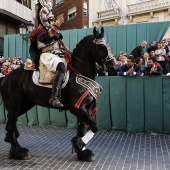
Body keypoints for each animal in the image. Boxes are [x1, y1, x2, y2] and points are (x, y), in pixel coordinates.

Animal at [0, 27, 115, 161]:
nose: (113, 67)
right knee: (11, 125)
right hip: (14, 106)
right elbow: (95, 126)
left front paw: (81, 151)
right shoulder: (77, 108)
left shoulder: (86, 108)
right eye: (101, 47)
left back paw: (12, 147)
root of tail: (6, 78)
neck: (79, 72)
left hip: (24, 105)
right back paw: (19, 151)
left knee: (10, 123)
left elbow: (83, 129)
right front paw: (79, 145)